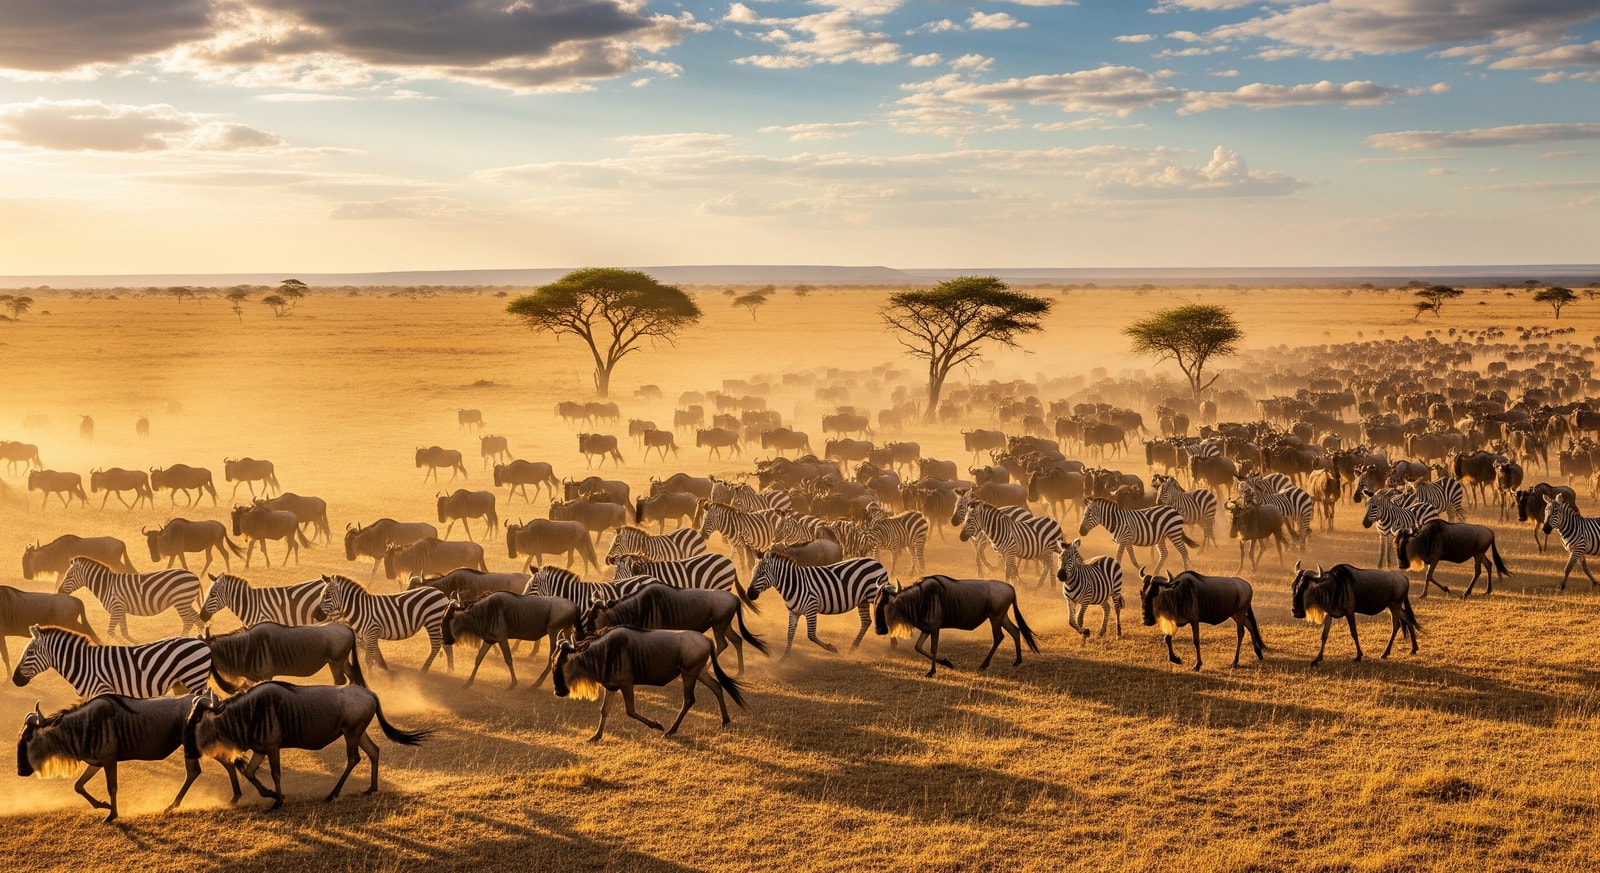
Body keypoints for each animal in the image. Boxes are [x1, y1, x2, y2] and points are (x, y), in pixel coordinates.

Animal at [13, 625, 210, 698]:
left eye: (30, 653)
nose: (15, 679)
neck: (82, 665)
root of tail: (201, 642)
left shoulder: (102, 690)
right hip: (182, 683)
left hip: (194, 679)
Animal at [57, 557, 202, 641]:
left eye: (68, 575)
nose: (59, 591)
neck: (106, 585)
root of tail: (194, 576)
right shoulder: (121, 610)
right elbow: (124, 632)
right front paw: (134, 644)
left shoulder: (117, 608)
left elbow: (111, 632)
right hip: (185, 602)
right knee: (197, 620)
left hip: (181, 601)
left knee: (188, 622)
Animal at [318, 574, 452, 672]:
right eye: (322, 594)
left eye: (328, 595)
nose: (318, 615)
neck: (361, 609)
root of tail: (440, 593)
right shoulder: (368, 635)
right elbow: (374, 655)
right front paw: (383, 671)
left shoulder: (372, 631)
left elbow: (368, 658)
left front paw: (371, 677)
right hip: (438, 624)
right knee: (446, 646)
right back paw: (450, 670)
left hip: (433, 621)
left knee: (436, 646)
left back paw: (424, 671)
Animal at [746, 552, 886, 656]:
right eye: (752, 573)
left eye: (761, 574)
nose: (749, 594)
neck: (794, 584)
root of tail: (876, 562)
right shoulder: (794, 612)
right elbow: (790, 634)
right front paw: (784, 657)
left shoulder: (811, 608)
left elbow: (811, 635)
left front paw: (831, 648)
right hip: (863, 600)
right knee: (866, 621)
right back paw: (853, 648)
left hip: (874, 595)